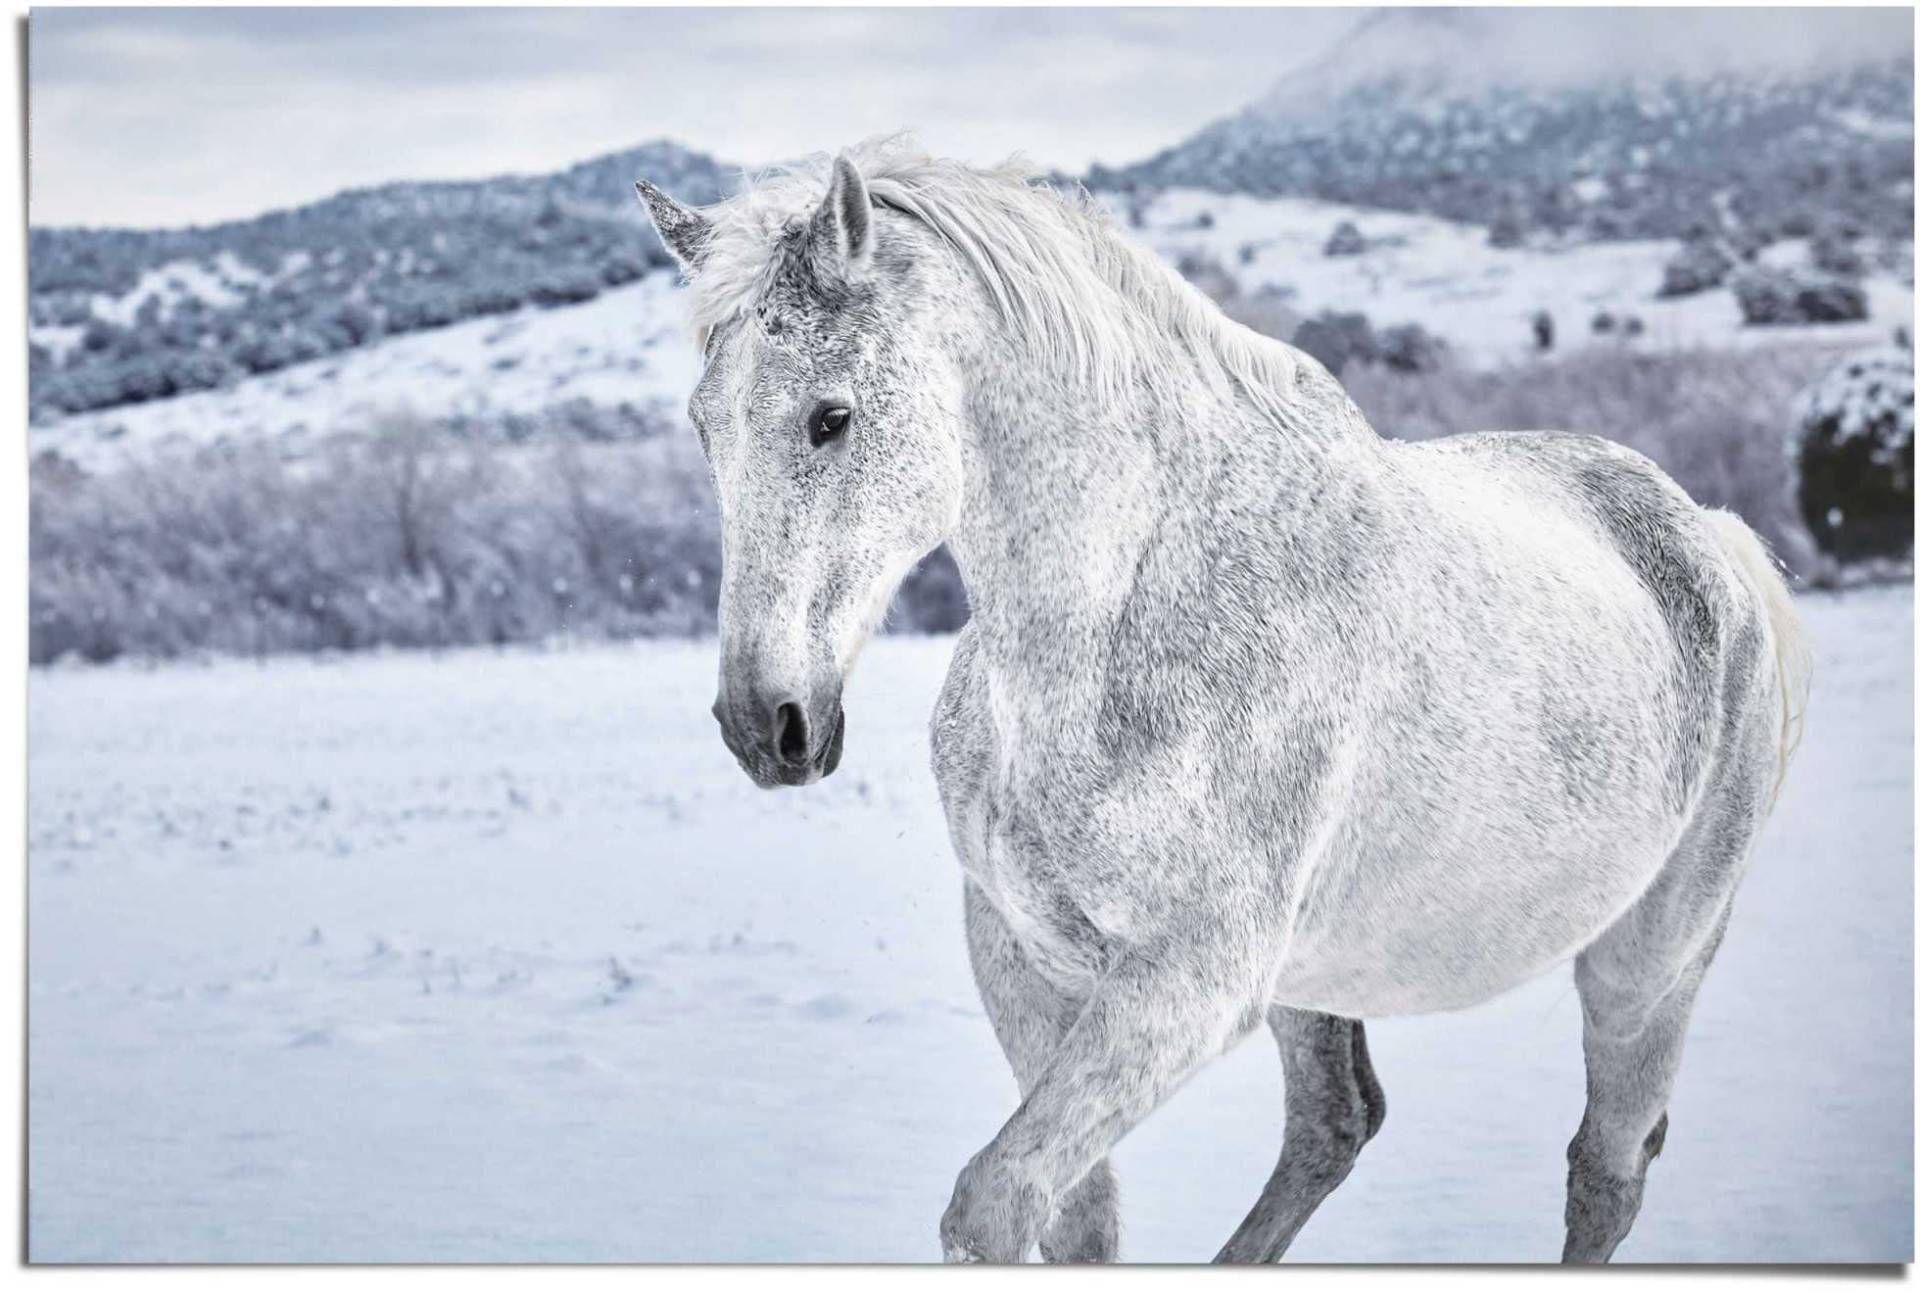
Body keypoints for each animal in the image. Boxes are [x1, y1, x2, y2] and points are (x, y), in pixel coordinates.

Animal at [633, 141, 1812, 1260]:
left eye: (830, 418)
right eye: (703, 424)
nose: (766, 725)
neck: (1118, 619)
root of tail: (1709, 536)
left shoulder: (1185, 985)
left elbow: (992, 1204)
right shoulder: (1026, 961)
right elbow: (1075, 1218)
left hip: (1648, 964)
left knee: (1605, 1168)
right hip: (1316, 979)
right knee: (1336, 1123)